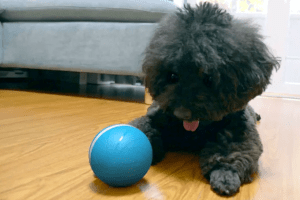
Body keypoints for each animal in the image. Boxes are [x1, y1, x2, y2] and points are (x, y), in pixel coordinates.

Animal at [130, 2, 280, 196]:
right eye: (172, 76)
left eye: (208, 78)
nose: (182, 113)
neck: (196, 130)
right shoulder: (155, 116)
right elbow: (143, 128)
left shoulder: (240, 134)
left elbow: (231, 154)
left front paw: (225, 176)